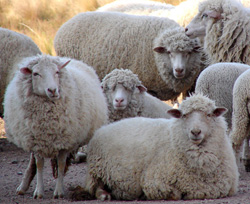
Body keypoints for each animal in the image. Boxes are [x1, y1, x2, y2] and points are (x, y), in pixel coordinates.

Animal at [3, 54, 107, 199]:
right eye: (35, 74)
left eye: (57, 72)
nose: (52, 90)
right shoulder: (37, 142)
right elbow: (39, 165)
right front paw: (39, 191)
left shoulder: (64, 142)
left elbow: (61, 164)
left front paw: (58, 191)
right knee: (32, 163)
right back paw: (23, 186)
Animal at [80, 93, 238, 201]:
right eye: (184, 115)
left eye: (209, 114)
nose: (195, 132)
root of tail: (103, 128)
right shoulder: (154, 182)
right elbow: (174, 194)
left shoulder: (223, 187)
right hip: (96, 170)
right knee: (94, 187)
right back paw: (105, 195)